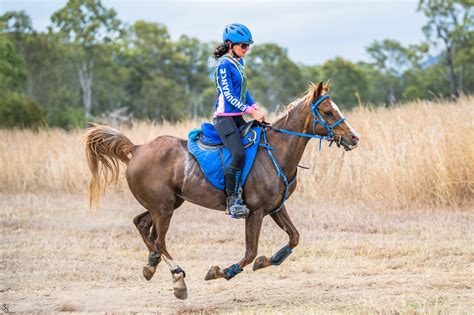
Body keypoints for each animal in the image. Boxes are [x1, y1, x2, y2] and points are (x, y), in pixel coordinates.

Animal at [85, 80, 360, 300]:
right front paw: (223, 271)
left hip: (167, 204)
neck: (276, 151)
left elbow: (294, 238)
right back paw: (178, 279)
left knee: (142, 225)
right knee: (159, 240)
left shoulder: (275, 208)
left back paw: (151, 264)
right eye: (327, 111)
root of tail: (137, 148)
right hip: (163, 209)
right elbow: (250, 253)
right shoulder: (255, 212)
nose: (354, 138)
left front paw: (268, 260)